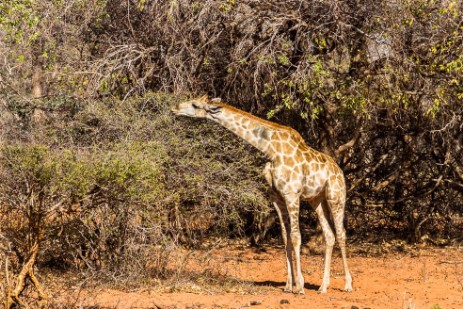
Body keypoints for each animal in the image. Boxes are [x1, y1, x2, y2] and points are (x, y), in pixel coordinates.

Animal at [172, 94, 354, 294]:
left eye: (194, 104)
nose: (175, 108)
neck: (270, 149)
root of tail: (339, 170)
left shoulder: (292, 194)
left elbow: (296, 237)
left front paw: (300, 286)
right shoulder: (277, 198)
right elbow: (285, 238)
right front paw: (288, 285)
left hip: (335, 195)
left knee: (341, 233)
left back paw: (347, 284)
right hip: (317, 199)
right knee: (329, 235)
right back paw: (323, 286)